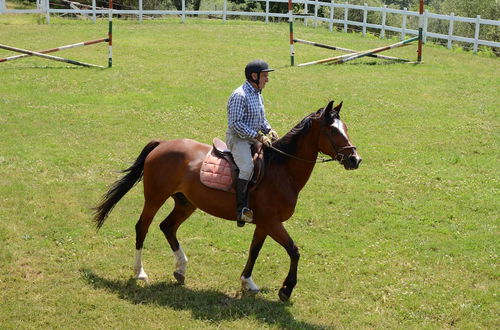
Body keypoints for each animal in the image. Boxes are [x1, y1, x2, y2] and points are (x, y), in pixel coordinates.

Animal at [93, 100, 360, 302]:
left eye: (346, 127)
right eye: (333, 131)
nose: (355, 159)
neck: (282, 169)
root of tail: (163, 144)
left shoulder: (264, 224)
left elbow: (254, 251)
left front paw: (247, 282)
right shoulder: (272, 222)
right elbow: (294, 251)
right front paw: (286, 289)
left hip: (186, 203)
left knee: (167, 227)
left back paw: (181, 269)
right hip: (155, 198)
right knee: (143, 227)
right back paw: (140, 272)